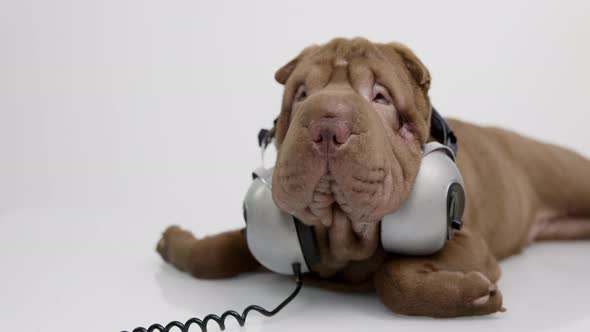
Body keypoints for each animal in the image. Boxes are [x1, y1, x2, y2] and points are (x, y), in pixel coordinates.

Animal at [154, 37, 590, 318]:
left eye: (380, 97)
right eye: (301, 95)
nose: (327, 124)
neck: (342, 237)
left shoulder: (471, 245)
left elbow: (392, 274)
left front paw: (473, 296)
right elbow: (221, 248)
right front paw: (175, 243)